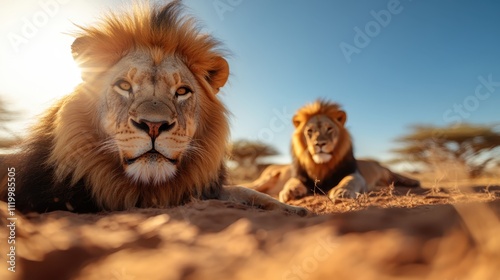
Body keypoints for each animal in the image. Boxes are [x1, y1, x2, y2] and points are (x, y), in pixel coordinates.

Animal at [244, 100, 420, 201]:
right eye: (309, 131)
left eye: (329, 129)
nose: (319, 143)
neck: (321, 165)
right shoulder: (300, 177)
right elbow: (292, 182)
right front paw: (290, 191)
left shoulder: (356, 174)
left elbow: (349, 180)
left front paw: (341, 191)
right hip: (268, 177)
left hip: (383, 171)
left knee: (394, 174)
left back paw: (412, 182)